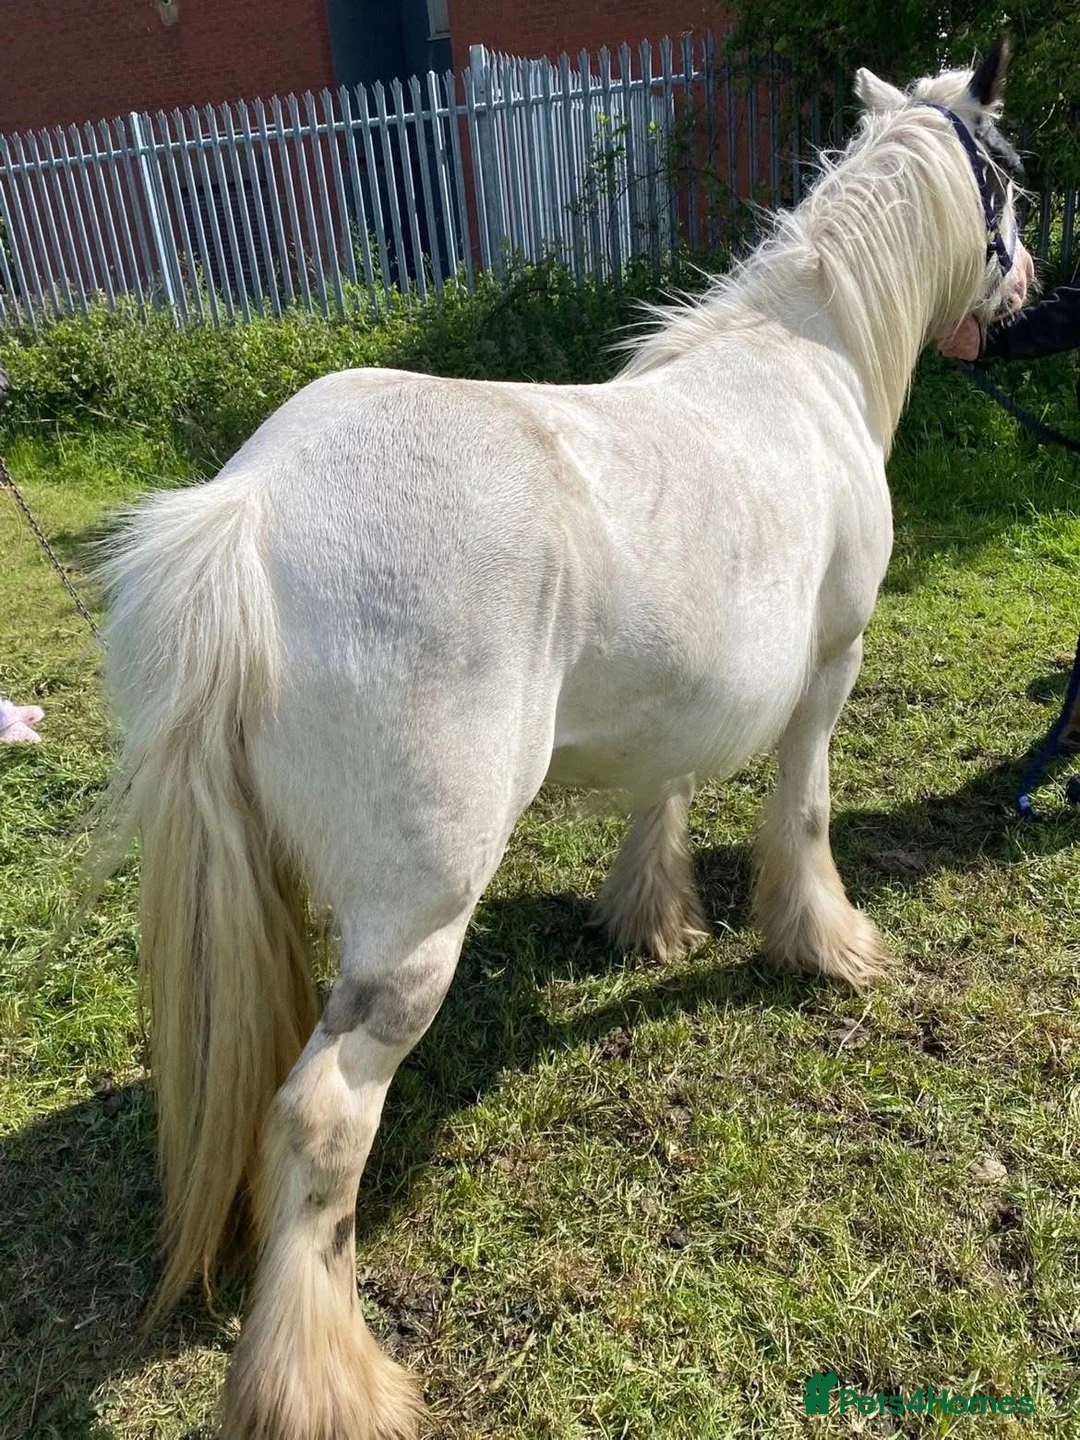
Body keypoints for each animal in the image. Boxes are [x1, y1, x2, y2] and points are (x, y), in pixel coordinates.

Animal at [100, 43, 1030, 1439]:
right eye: (1009, 182)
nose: (1028, 289)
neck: (803, 361)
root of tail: (248, 512)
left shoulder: (688, 697)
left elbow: (667, 790)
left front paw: (653, 922)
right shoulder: (831, 670)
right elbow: (805, 816)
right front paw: (828, 947)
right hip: (415, 928)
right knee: (321, 1121)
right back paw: (327, 1383)